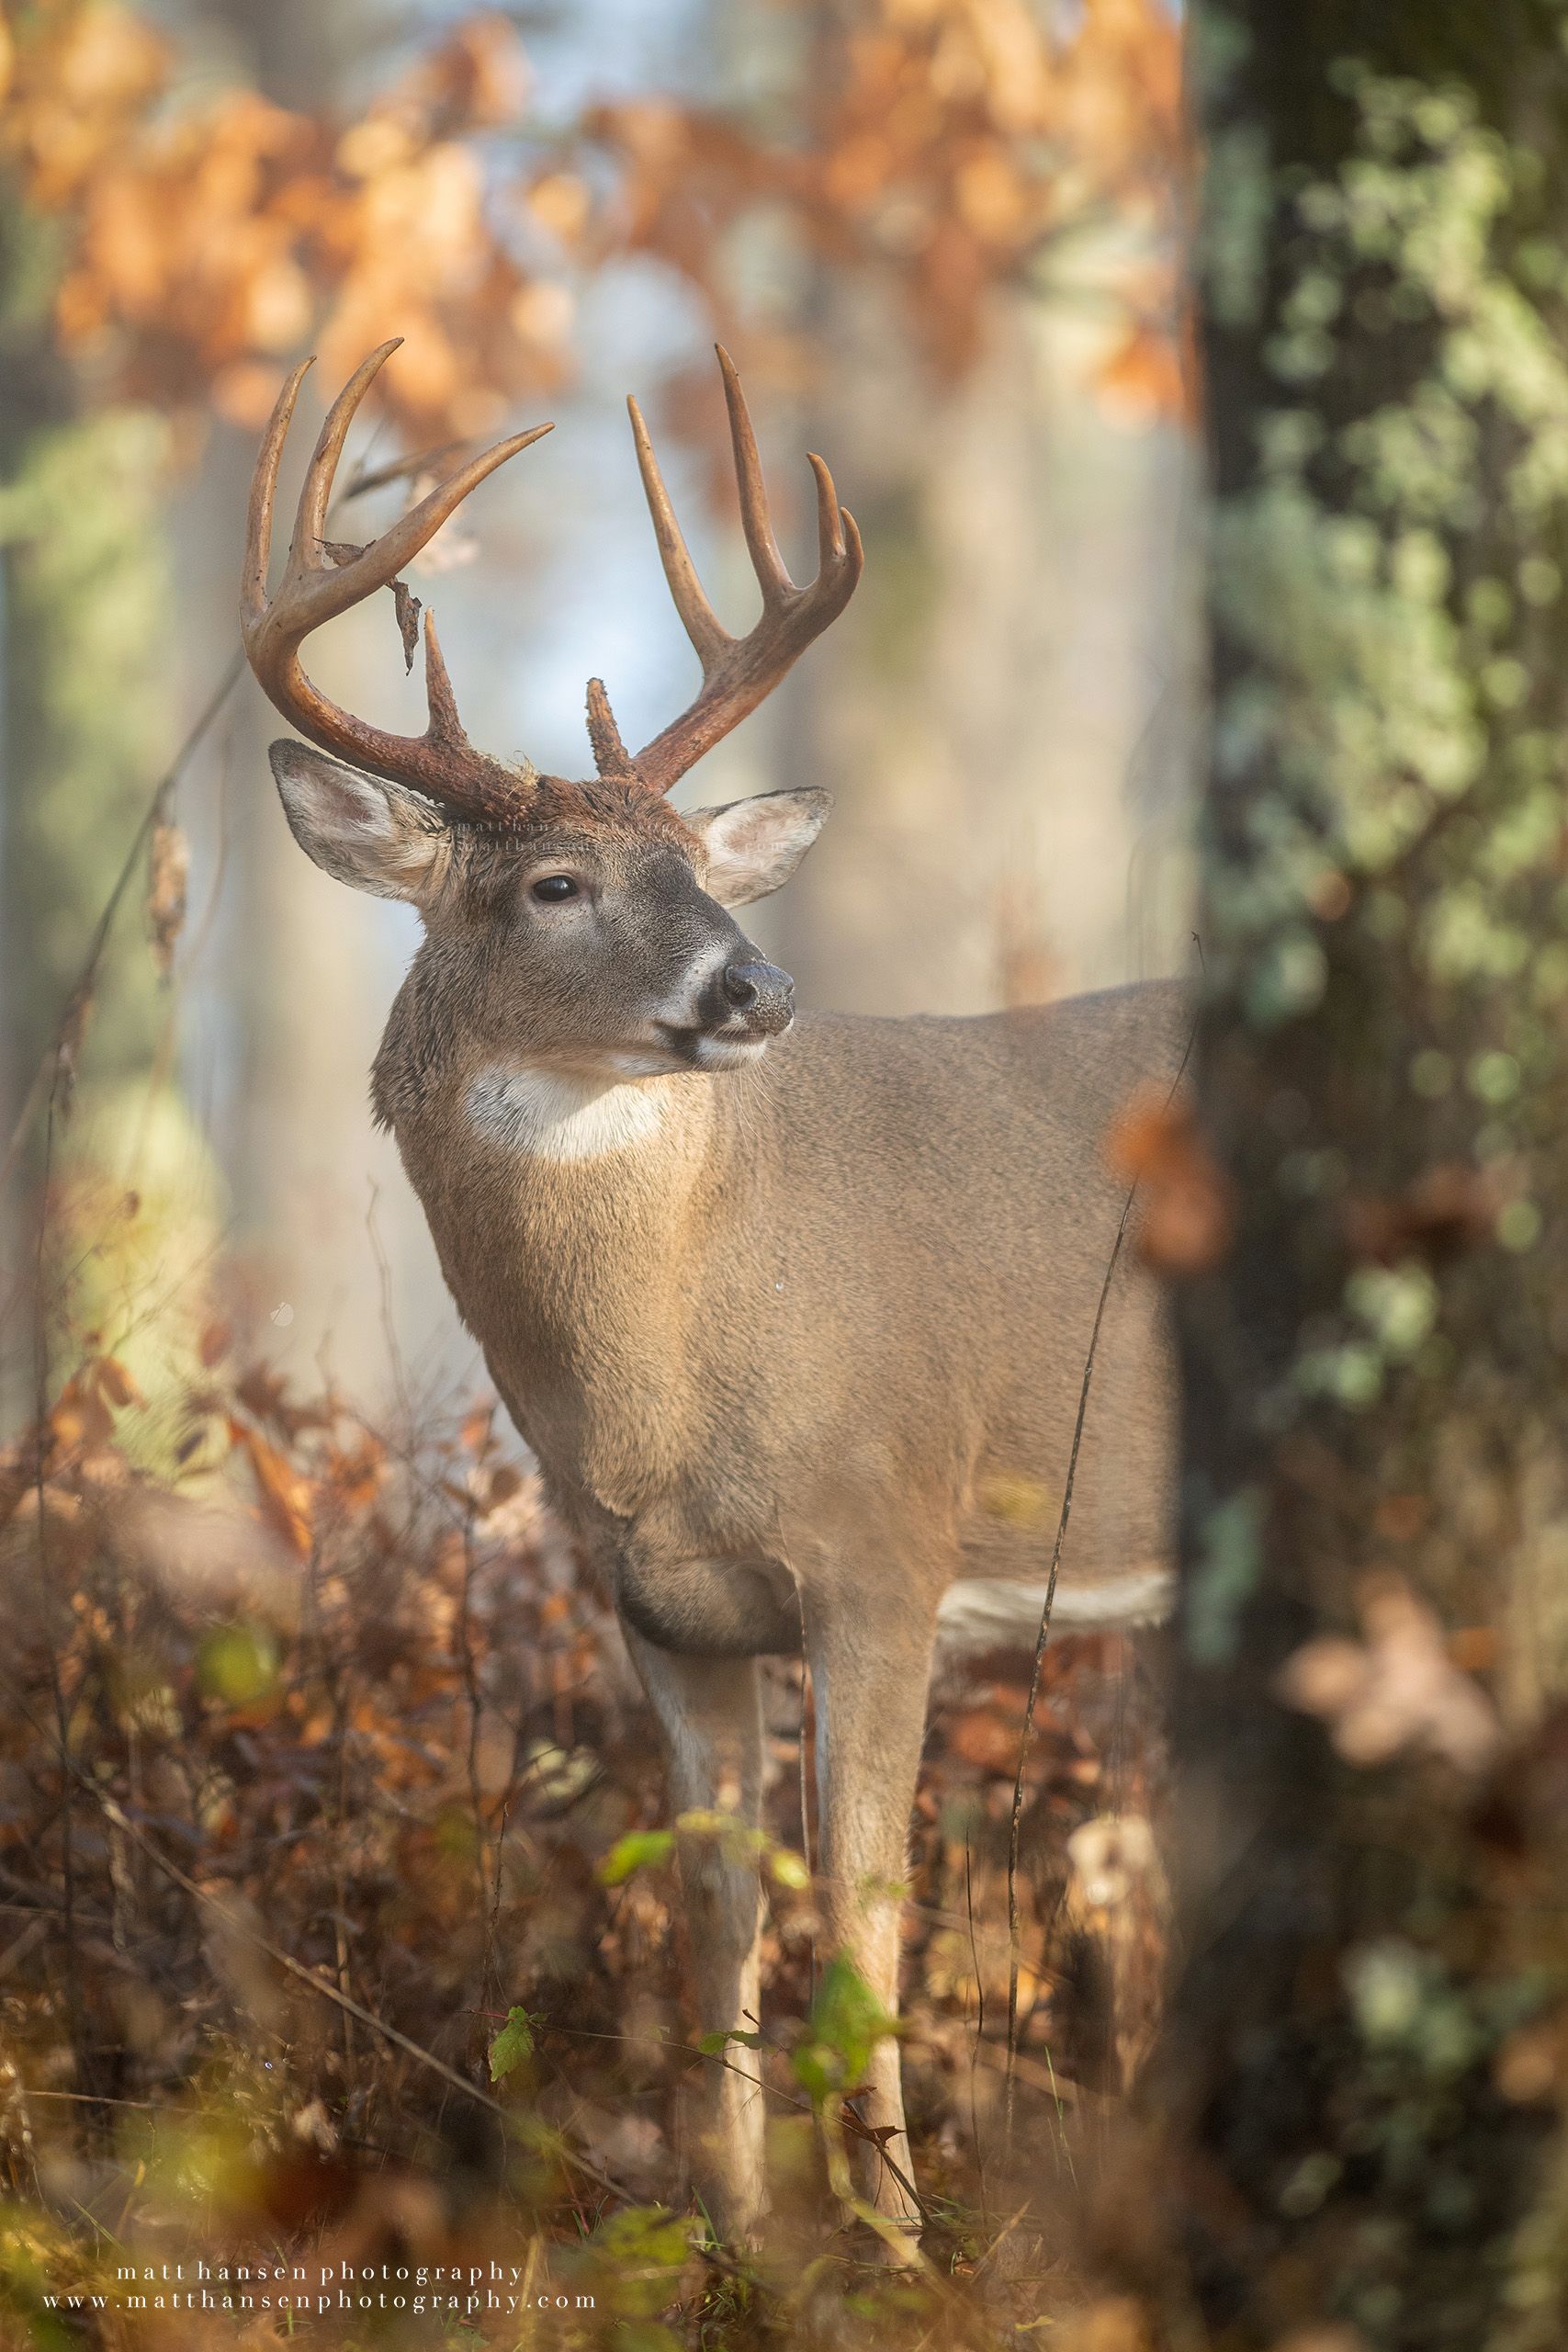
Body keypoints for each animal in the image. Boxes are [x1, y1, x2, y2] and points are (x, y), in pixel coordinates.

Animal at [240, 338, 1185, 2248]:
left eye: (698, 862)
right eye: (557, 882)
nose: (757, 988)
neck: (658, 1393)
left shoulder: (888, 1545)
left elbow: (868, 1904)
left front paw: (891, 2241)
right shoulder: (660, 1610)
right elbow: (713, 1911)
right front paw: (730, 2234)